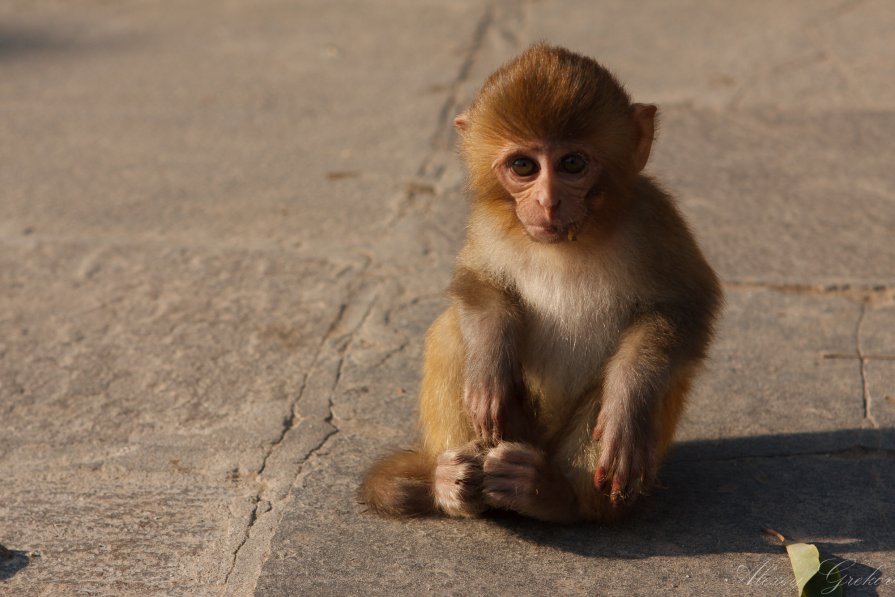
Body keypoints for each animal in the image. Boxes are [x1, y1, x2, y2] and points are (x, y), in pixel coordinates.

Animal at [360, 44, 716, 520]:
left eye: (572, 164)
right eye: (524, 166)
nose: (547, 201)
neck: (568, 243)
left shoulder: (653, 217)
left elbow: (684, 307)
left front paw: (629, 403)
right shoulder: (487, 223)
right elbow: (476, 283)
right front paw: (489, 359)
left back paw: (549, 494)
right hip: (512, 431)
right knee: (452, 330)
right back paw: (451, 485)